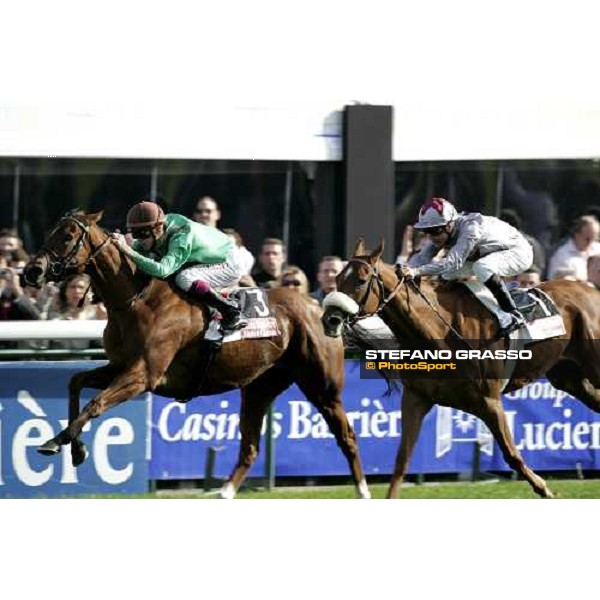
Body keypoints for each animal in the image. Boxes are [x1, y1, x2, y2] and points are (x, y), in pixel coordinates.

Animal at [22, 209, 370, 500]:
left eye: (67, 236)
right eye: (51, 232)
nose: (31, 271)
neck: (138, 301)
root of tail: (323, 307)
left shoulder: (143, 375)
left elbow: (95, 403)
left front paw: (60, 441)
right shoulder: (119, 366)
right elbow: (76, 382)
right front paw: (73, 446)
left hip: (323, 387)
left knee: (348, 436)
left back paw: (363, 491)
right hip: (259, 387)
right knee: (250, 447)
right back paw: (225, 493)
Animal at [324, 238, 600, 496]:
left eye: (360, 281)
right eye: (337, 277)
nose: (330, 319)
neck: (437, 333)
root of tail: (590, 288)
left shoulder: (489, 401)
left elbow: (511, 454)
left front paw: (545, 490)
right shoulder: (416, 397)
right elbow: (402, 460)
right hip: (570, 378)